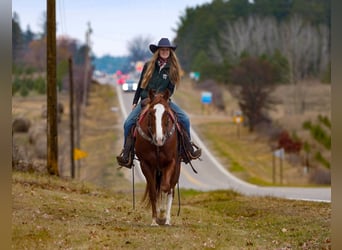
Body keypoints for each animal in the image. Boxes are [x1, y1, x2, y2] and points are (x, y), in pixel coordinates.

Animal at [134, 89, 182, 226]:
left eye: (166, 113)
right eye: (151, 113)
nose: (159, 139)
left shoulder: (171, 162)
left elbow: (166, 187)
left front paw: (162, 215)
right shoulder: (145, 164)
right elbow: (153, 192)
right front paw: (155, 220)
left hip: (176, 168)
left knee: (170, 189)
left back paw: (167, 219)